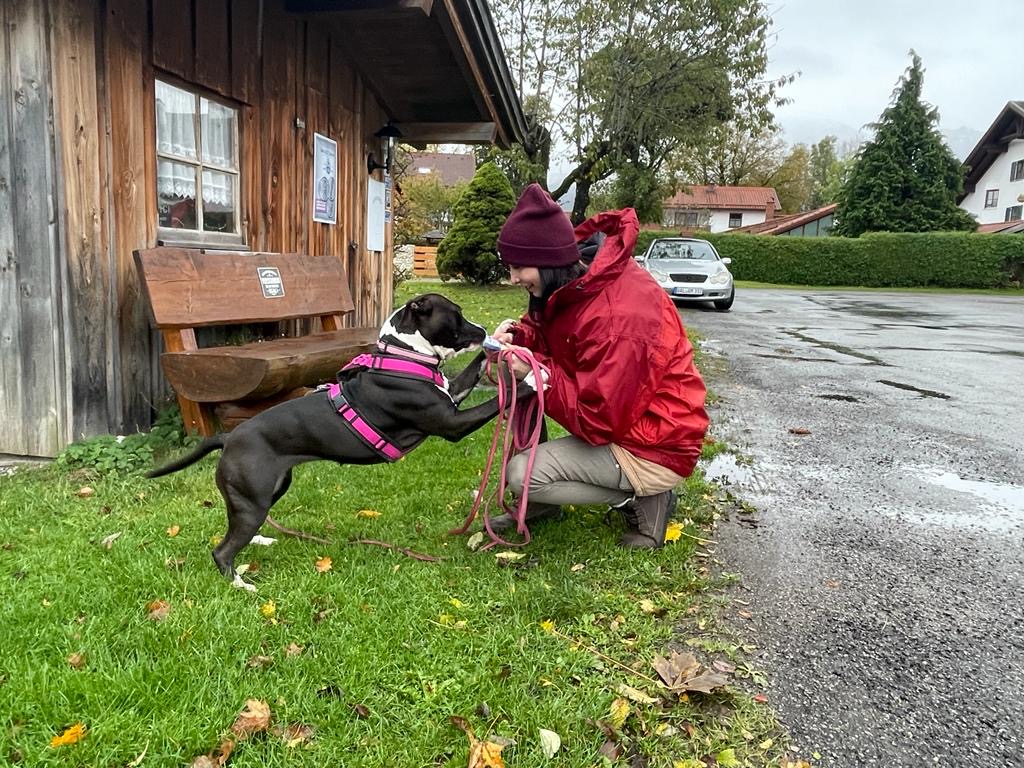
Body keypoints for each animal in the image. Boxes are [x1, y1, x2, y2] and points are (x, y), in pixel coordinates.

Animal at [147, 293, 528, 589]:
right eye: (457, 314)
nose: (482, 331)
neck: (404, 357)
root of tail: (228, 436)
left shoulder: (454, 395)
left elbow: (474, 371)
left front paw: (504, 341)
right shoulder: (451, 424)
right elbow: (500, 399)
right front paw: (531, 380)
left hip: (263, 492)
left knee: (235, 528)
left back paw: (260, 540)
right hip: (253, 500)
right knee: (222, 550)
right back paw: (241, 584)